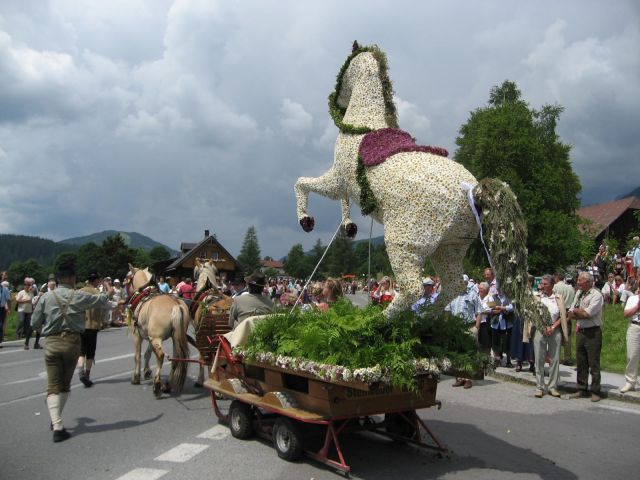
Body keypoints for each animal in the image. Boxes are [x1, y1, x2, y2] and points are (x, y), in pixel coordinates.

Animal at [127, 265, 191, 396]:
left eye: (128, 278)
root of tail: (176, 305)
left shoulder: (137, 335)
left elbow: (137, 356)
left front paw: (136, 377)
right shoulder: (150, 337)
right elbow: (148, 353)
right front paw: (147, 371)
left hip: (157, 338)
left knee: (161, 356)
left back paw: (157, 384)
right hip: (175, 338)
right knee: (175, 360)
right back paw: (167, 385)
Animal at [294, 43, 550, 329]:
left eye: (346, 66)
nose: (336, 99)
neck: (362, 125)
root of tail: (472, 190)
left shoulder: (336, 179)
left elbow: (302, 184)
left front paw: (306, 220)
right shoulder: (345, 185)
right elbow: (338, 201)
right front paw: (349, 227)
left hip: (404, 244)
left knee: (413, 288)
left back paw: (372, 323)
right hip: (448, 248)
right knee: (454, 285)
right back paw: (425, 319)